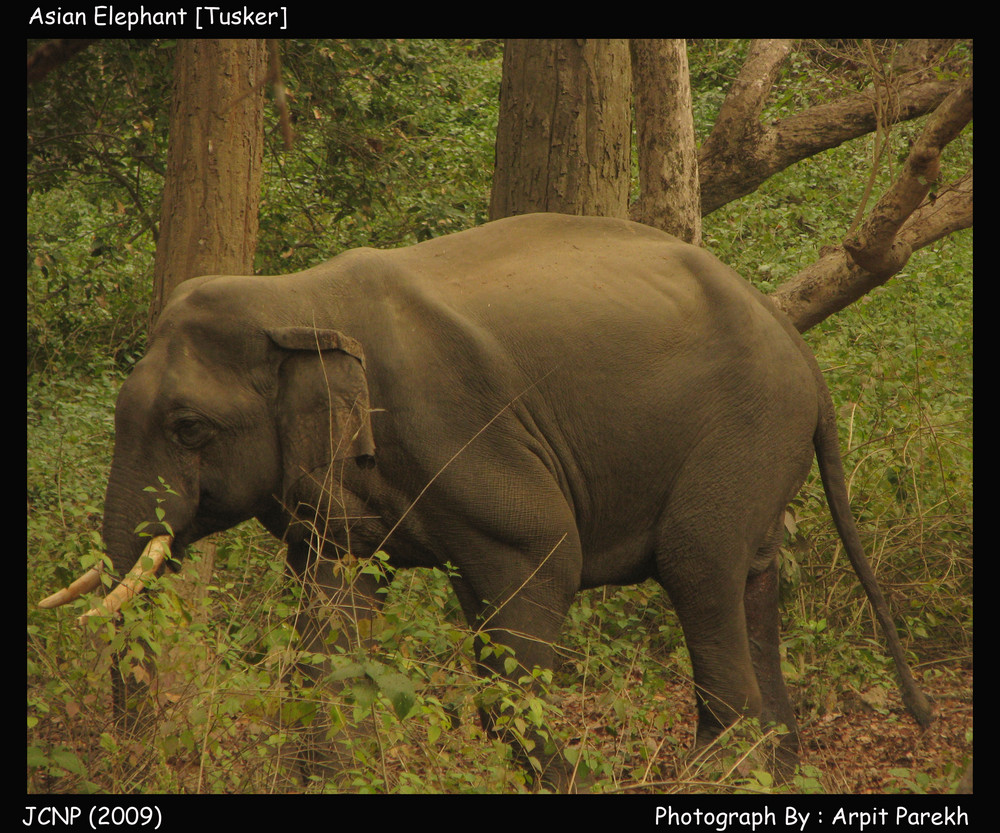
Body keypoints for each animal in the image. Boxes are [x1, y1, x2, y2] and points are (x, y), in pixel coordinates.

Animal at [43, 211, 932, 788]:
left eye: (189, 427)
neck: (294, 299)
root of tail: (803, 355)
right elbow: (331, 605)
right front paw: (330, 778)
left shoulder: (462, 430)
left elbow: (544, 553)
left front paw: (571, 781)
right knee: (752, 576)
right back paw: (776, 767)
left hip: (746, 428)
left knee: (698, 566)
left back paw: (719, 773)